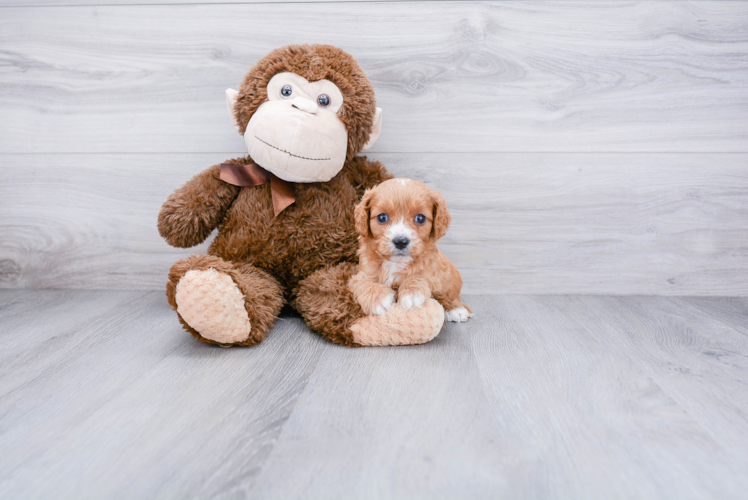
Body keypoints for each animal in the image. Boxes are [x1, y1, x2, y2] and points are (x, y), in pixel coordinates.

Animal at [348, 178, 470, 322]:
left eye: (420, 218)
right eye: (382, 217)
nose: (401, 241)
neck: (396, 263)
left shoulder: (431, 272)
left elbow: (420, 276)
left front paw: (412, 293)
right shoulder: (362, 272)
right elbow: (361, 282)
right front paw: (378, 299)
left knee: (449, 294)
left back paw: (456, 308)